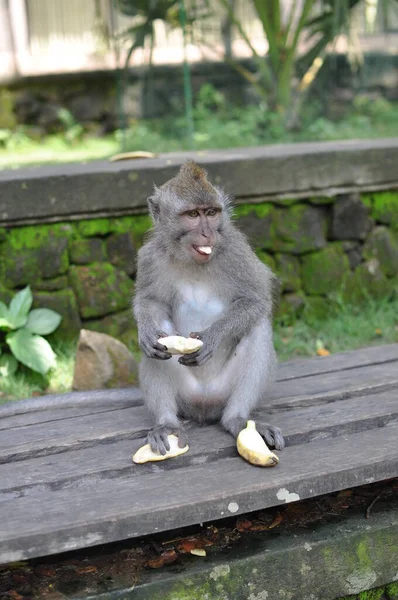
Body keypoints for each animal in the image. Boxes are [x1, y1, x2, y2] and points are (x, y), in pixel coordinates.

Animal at [135, 159, 284, 454]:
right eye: (193, 214)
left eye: (212, 213)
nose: (207, 232)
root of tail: (204, 406)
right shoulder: (149, 257)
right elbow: (150, 302)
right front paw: (145, 330)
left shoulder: (237, 251)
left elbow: (256, 300)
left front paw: (213, 337)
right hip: (186, 396)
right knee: (158, 341)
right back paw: (166, 424)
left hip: (223, 393)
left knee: (258, 326)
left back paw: (237, 419)